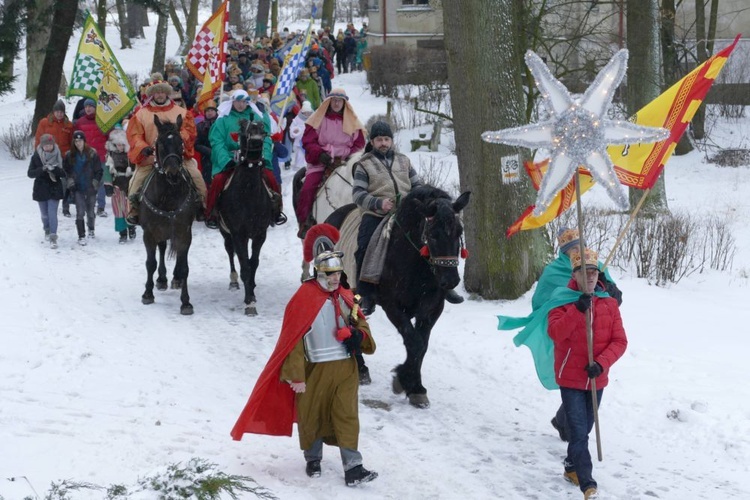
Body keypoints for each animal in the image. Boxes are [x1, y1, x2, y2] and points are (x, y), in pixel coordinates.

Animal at [140, 115, 200, 314]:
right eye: (160, 143)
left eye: (181, 142)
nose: (173, 172)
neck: (167, 194)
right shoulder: (149, 232)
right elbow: (150, 263)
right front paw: (148, 294)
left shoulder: (184, 232)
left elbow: (185, 268)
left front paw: (186, 302)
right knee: (162, 248)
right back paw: (161, 279)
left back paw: (174, 279)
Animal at [217, 119, 274, 314]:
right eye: (243, 126)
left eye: (263, 127)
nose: (256, 139)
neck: (248, 194)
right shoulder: (238, 233)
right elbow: (244, 265)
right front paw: (249, 302)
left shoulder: (260, 234)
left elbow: (253, 263)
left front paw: (252, 293)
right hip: (225, 232)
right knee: (230, 251)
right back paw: (234, 281)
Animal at [328, 186, 470, 408]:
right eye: (433, 234)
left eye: (459, 231)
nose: (450, 280)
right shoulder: (392, 306)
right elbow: (414, 342)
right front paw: (403, 380)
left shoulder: (432, 307)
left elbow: (422, 345)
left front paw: (415, 387)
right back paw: (360, 368)